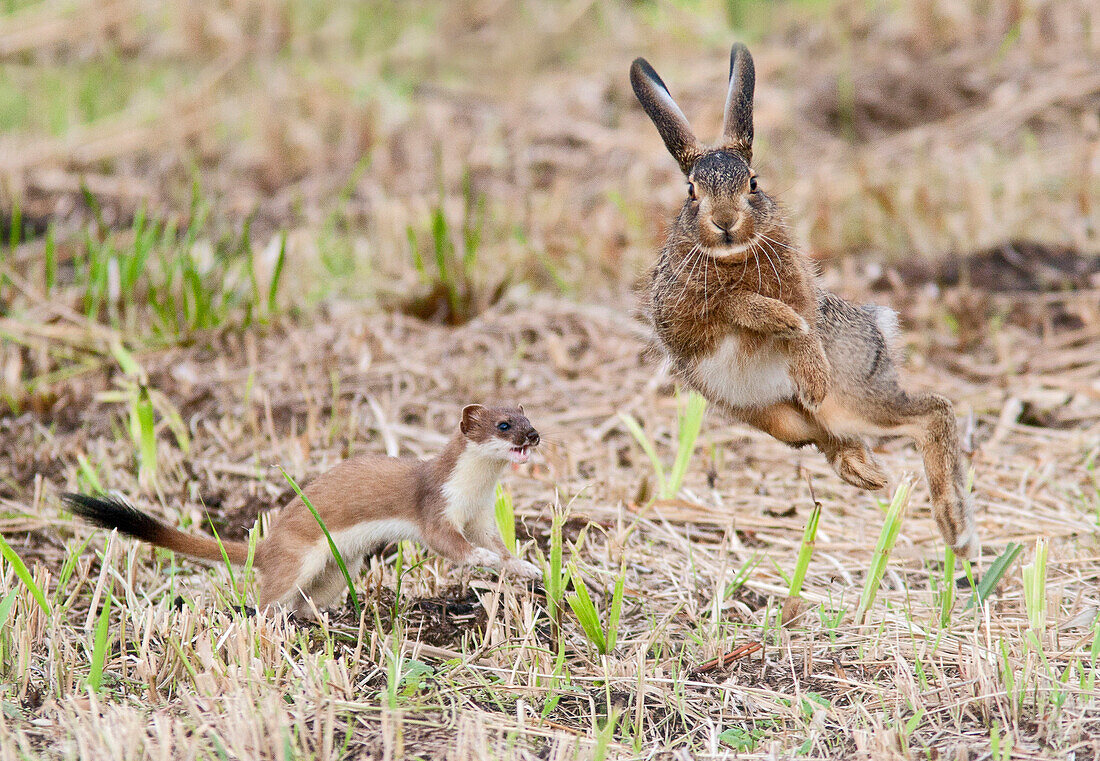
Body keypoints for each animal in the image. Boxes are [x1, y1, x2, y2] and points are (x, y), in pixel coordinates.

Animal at [63, 404, 541, 620]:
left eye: (527, 417)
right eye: (503, 425)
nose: (534, 435)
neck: (475, 491)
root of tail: (268, 544)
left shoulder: (480, 515)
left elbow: (500, 543)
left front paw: (525, 566)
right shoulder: (436, 508)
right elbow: (450, 544)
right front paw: (482, 559)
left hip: (338, 568)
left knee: (306, 601)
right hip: (298, 558)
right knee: (269, 597)